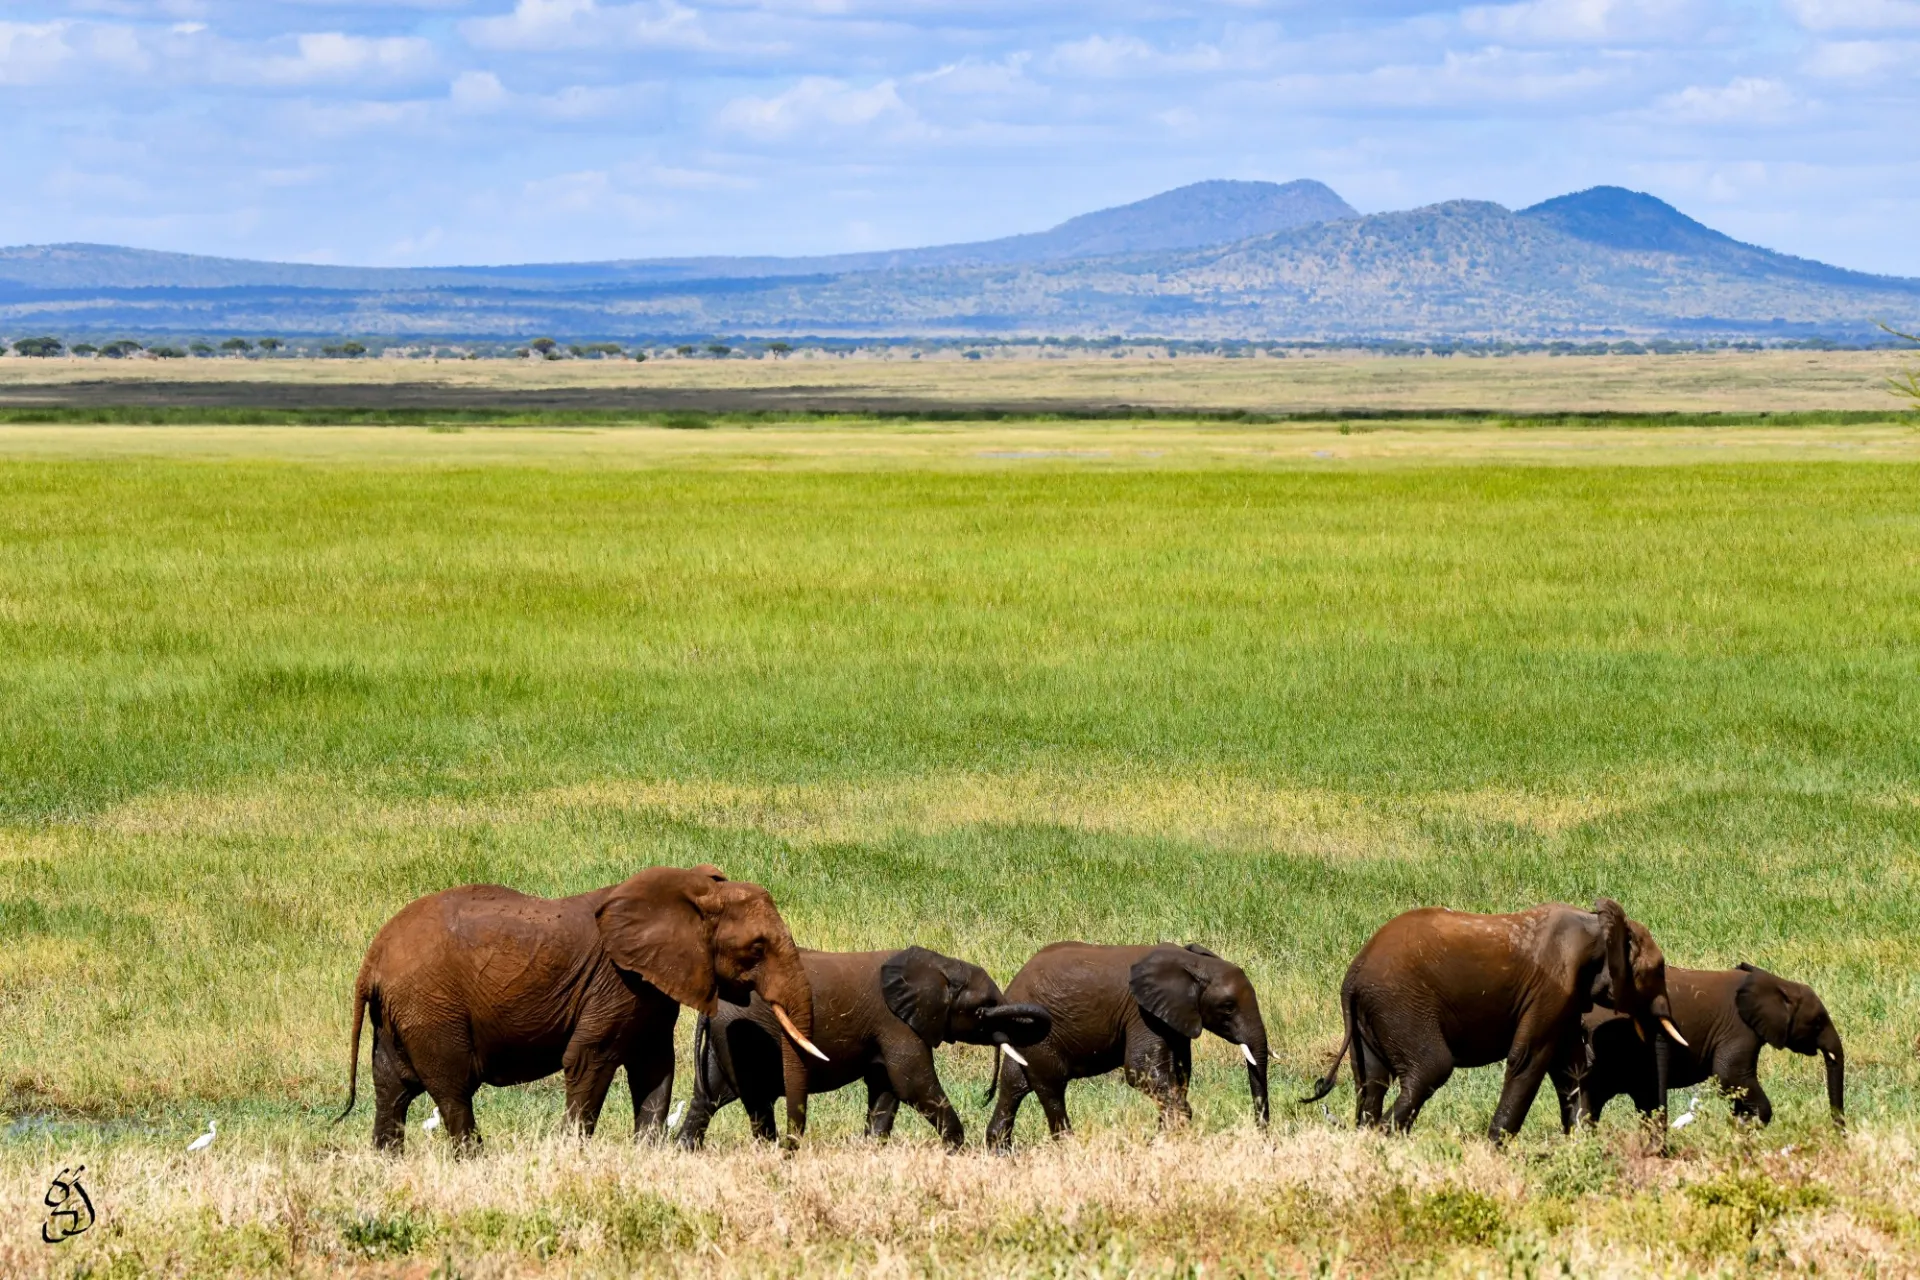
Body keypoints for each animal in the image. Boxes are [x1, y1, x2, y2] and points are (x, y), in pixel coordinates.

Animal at [337, 864, 825, 1151]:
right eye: (757, 948)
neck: (693, 890)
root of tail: (372, 958)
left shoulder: (650, 987)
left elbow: (654, 1066)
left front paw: (646, 1155)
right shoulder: (614, 982)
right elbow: (590, 1059)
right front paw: (575, 1153)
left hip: (402, 1012)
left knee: (392, 1086)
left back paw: (388, 1161)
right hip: (431, 1008)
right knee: (452, 1089)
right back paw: (473, 1161)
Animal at [676, 946, 1052, 1149]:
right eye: (982, 1011)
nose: (985, 1095)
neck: (938, 965)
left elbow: (886, 1089)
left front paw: (873, 1148)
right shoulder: (896, 1024)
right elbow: (912, 1083)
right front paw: (957, 1148)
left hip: (726, 1040)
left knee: (710, 1097)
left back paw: (684, 1151)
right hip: (746, 1037)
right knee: (755, 1099)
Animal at [983, 942, 1270, 1150]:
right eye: (1228, 1007)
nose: (1264, 1141)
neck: (1193, 963)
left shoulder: (1175, 1017)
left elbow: (1179, 1072)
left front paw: (1163, 1139)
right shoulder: (1142, 1013)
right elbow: (1139, 1070)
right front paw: (1171, 1133)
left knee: (1014, 1086)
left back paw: (1001, 1154)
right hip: (1038, 1035)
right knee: (1050, 1086)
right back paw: (1068, 1148)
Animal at [1302, 899, 1685, 1140]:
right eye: (1657, 970)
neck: (1596, 924)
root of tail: (1353, 976)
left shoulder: (1567, 997)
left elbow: (1571, 1068)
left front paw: (1583, 1143)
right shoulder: (1553, 987)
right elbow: (1528, 1058)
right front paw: (1497, 1145)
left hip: (1372, 1017)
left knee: (1372, 1080)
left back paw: (1370, 1136)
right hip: (1401, 1006)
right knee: (1430, 1068)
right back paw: (1386, 1137)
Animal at [1580, 963, 1844, 1128]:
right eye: (1818, 1022)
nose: (1839, 1133)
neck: (1777, 983)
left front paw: (1741, 1125)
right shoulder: (1738, 1028)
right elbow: (1730, 1075)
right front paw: (1751, 1124)